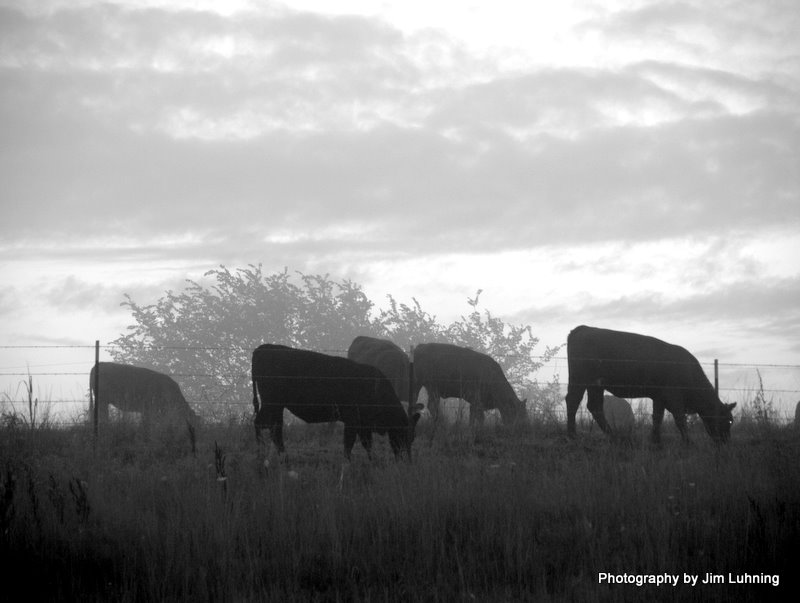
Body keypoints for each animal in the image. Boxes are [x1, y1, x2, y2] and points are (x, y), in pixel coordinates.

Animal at [252, 346, 424, 460]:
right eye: (405, 434)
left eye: (413, 437)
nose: (405, 459)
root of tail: (262, 348)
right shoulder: (353, 420)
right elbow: (349, 444)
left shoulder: (363, 424)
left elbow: (367, 444)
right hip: (272, 403)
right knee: (266, 426)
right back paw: (263, 454)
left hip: (275, 406)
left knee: (272, 428)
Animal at [564, 326, 736, 444]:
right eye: (728, 420)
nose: (726, 442)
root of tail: (584, 328)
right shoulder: (673, 396)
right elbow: (679, 419)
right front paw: (688, 442)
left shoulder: (659, 397)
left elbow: (657, 418)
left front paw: (656, 441)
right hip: (580, 379)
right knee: (573, 401)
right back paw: (572, 435)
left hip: (595, 385)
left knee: (595, 406)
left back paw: (613, 436)